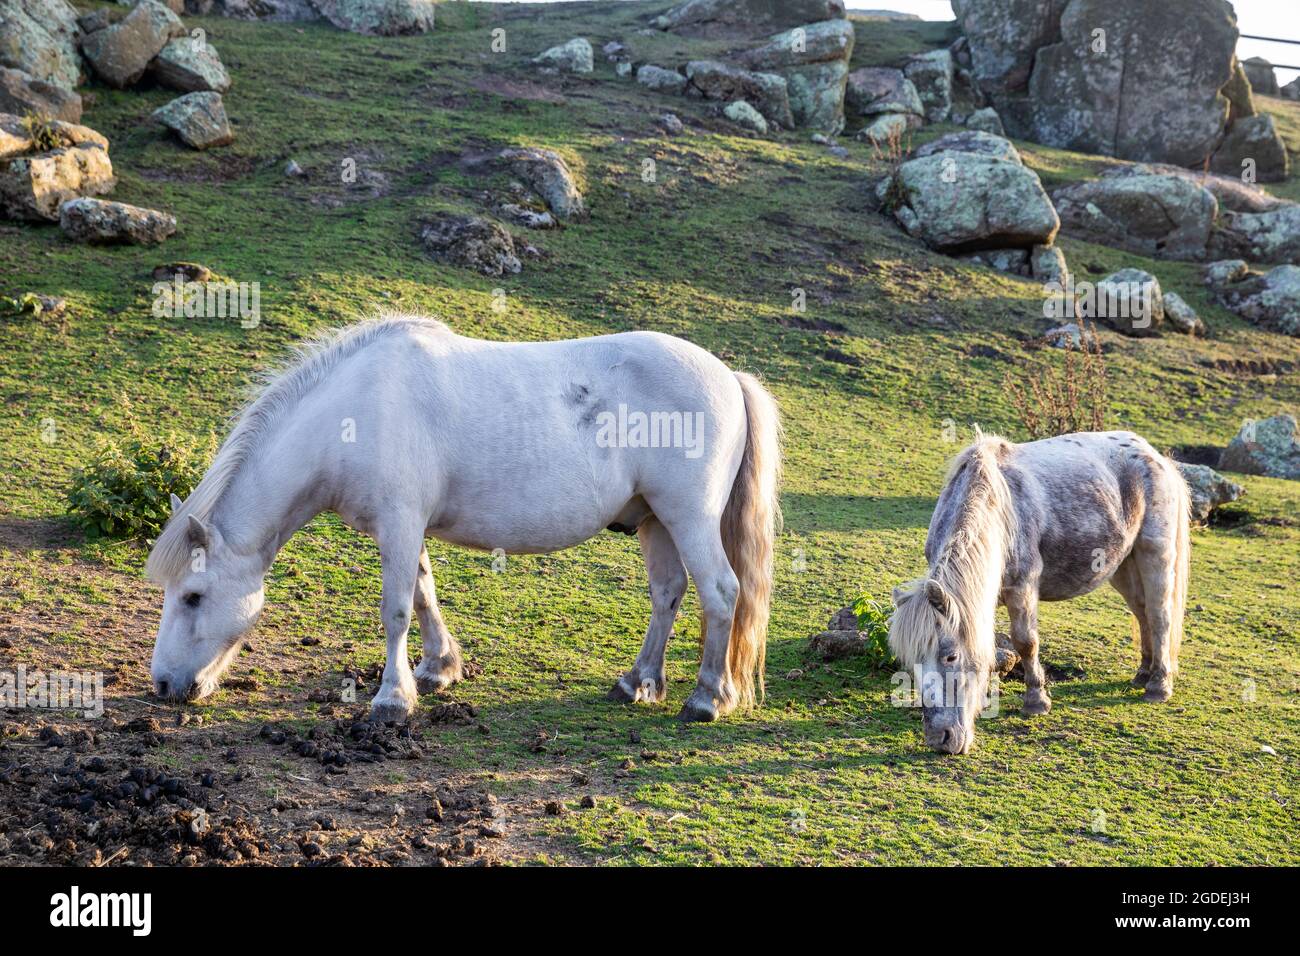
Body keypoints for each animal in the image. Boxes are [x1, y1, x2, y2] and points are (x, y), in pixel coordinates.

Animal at [147, 314, 782, 724]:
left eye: (194, 597)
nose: (162, 686)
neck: (352, 414)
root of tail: (729, 377)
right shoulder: (405, 528)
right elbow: (424, 593)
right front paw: (437, 669)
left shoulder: (400, 523)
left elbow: (397, 609)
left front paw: (392, 700)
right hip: (655, 522)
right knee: (668, 593)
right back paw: (637, 683)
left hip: (688, 518)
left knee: (721, 592)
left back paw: (707, 698)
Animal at [889, 430, 1190, 754]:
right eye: (911, 660)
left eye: (950, 657)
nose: (940, 739)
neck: (997, 510)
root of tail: (1153, 455)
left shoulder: (1022, 588)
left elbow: (1025, 643)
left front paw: (1036, 701)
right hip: (1122, 566)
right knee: (1142, 612)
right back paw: (1143, 673)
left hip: (1154, 554)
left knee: (1160, 617)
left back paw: (1158, 685)